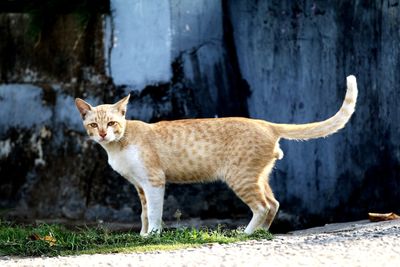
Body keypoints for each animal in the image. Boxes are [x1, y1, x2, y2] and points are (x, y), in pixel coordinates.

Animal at [76, 75, 360, 237]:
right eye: (94, 125)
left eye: (112, 123)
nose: (103, 134)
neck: (118, 145)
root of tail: (266, 123)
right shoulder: (140, 187)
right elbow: (143, 214)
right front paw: (144, 235)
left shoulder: (154, 181)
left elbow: (155, 212)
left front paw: (153, 235)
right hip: (258, 177)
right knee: (274, 203)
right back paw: (260, 233)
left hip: (240, 178)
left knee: (262, 206)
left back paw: (246, 234)